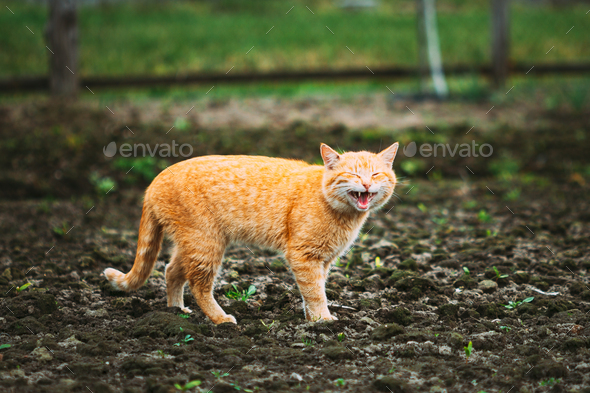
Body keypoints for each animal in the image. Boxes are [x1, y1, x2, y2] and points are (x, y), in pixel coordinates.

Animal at [106, 142, 402, 324]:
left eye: (376, 174)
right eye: (352, 174)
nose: (366, 184)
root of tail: (155, 179)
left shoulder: (323, 260)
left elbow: (312, 291)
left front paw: (311, 319)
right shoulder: (304, 256)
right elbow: (315, 292)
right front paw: (322, 321)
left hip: (193, 242)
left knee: (171, 271)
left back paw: (176, 311)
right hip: (206, 243)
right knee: (199, 286)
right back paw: (220, 319)